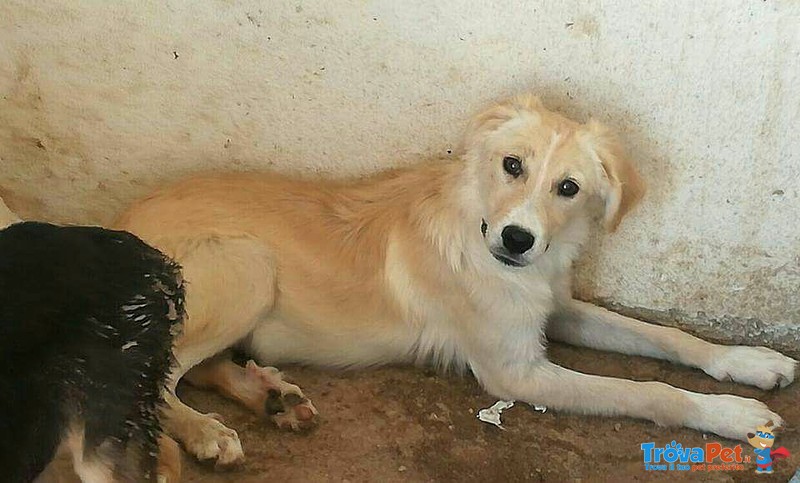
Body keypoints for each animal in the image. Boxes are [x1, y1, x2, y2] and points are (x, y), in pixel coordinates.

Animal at [115, 92, 796, 466]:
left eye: (568, 188)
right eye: (511, 165)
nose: (517, 240)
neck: (480, 231)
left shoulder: (555, 308)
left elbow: (665, 337)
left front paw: (748, 362)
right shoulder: (514, 373)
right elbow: (649, 392)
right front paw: (732, 415)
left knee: (196, 368)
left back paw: (271, 397)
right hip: (248, 267)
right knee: (158, 377)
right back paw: (205, 431)